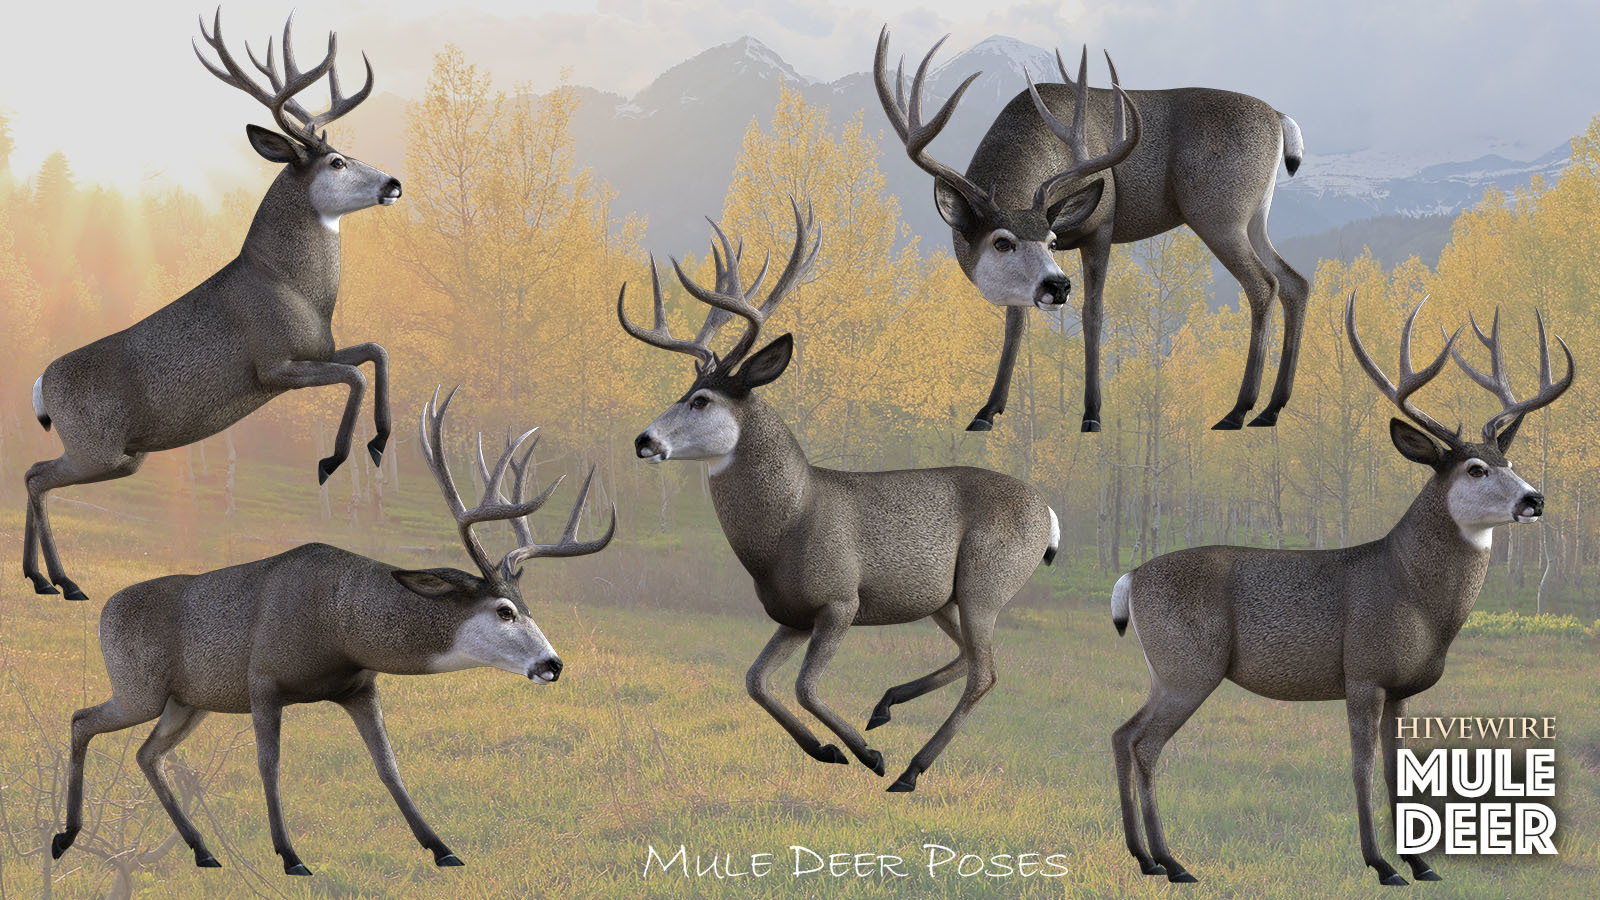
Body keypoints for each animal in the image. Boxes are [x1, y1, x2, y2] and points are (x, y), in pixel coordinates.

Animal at [23, 10, 401, 603]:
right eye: (338, 162)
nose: (393, 183)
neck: (295, 291)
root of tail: (41, 385)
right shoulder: (273, 366)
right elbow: (356, 376)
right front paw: (332, 459)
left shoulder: (322, 348)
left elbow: (376, 353)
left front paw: (380, 441)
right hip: (96, 446)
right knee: (36, 477)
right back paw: (62, 581)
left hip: (119, 456)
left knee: (32, 472)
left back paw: (42, 579)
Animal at [52, 389, 615, 876]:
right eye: (504, 611)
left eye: (526, 606)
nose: (552, 664)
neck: (340, 627)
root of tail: (104, 610)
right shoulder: (263, 680)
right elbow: (270, 766)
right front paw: (290, 856)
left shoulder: (360, 686)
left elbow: (388, 765)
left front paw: (442, 848)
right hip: (139, 686)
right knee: (82, 719)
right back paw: (66, 836)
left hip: (187, 702)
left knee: (147, 753)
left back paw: (202, 851)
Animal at [618, 201, 1060, 793]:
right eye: (683, 393)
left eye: (701, 400)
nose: (644, 441)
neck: (790, 522)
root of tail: (1049, 513)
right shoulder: (792, 614)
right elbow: (755, 680)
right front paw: (826, 749)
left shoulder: (840, 599)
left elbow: (804, 686)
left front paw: (866, 755)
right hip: (945, 598)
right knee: (969, 656)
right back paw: (885, 706)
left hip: (986, 581)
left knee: (984, 671)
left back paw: (909, 769)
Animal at [875, 28, 1309, 434]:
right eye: (1001, 242)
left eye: (1052, 240)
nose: (1057, 285)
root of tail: (1278, 117)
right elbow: (1016, 322)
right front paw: (986, 411)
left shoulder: (1101, 226)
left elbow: (1093, 313)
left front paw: (1092, 414)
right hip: (1255, 217)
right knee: (1295, 281)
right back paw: (1270, 410)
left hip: (1219, 214)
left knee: (1264, 284)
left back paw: (1238, 411)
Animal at [1108, 295, 1572, 885]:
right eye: (1474, 469)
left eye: (1508, 461)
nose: (1535, 499)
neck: (1414, 597)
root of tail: (1130, 578)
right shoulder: (1364, 672)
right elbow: (1361, 768)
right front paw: (1381, 865)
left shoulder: (1400, 688)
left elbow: (1402, 771)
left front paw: (1421, 864)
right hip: (1188, 665)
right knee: (1145, 745)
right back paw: (1172, 862)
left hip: (1166, 670)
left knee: (1123, 734)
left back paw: (1144, 857)